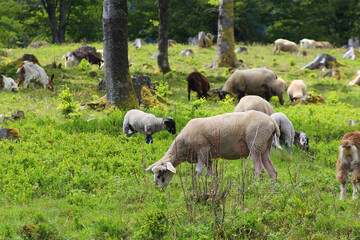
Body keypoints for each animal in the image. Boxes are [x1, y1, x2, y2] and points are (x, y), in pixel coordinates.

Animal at [146, 109, 278, 188]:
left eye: (160, 174)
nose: (158, 187)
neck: (182, 146)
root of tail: (272, 122)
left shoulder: (202, 150)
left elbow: (198, 171)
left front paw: (196, 185)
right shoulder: (208, 156)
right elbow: (210, 173)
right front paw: (210, 185)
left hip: (255, 144)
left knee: (259, 170)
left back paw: (255, 187)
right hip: (265, 147)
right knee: (272, 171)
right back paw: (272, 191)